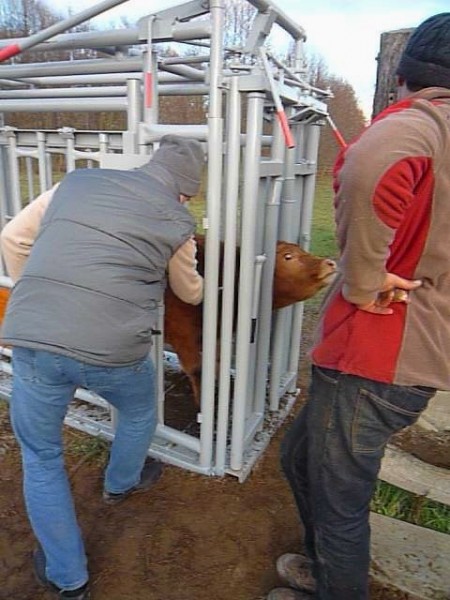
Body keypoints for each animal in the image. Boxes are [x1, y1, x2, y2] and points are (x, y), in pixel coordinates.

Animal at [0, 234, 336, 404]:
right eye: (288, 257)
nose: (330, 262)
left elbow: (213, 364)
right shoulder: (183, 331)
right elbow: (198, 368)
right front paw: (205, 407)